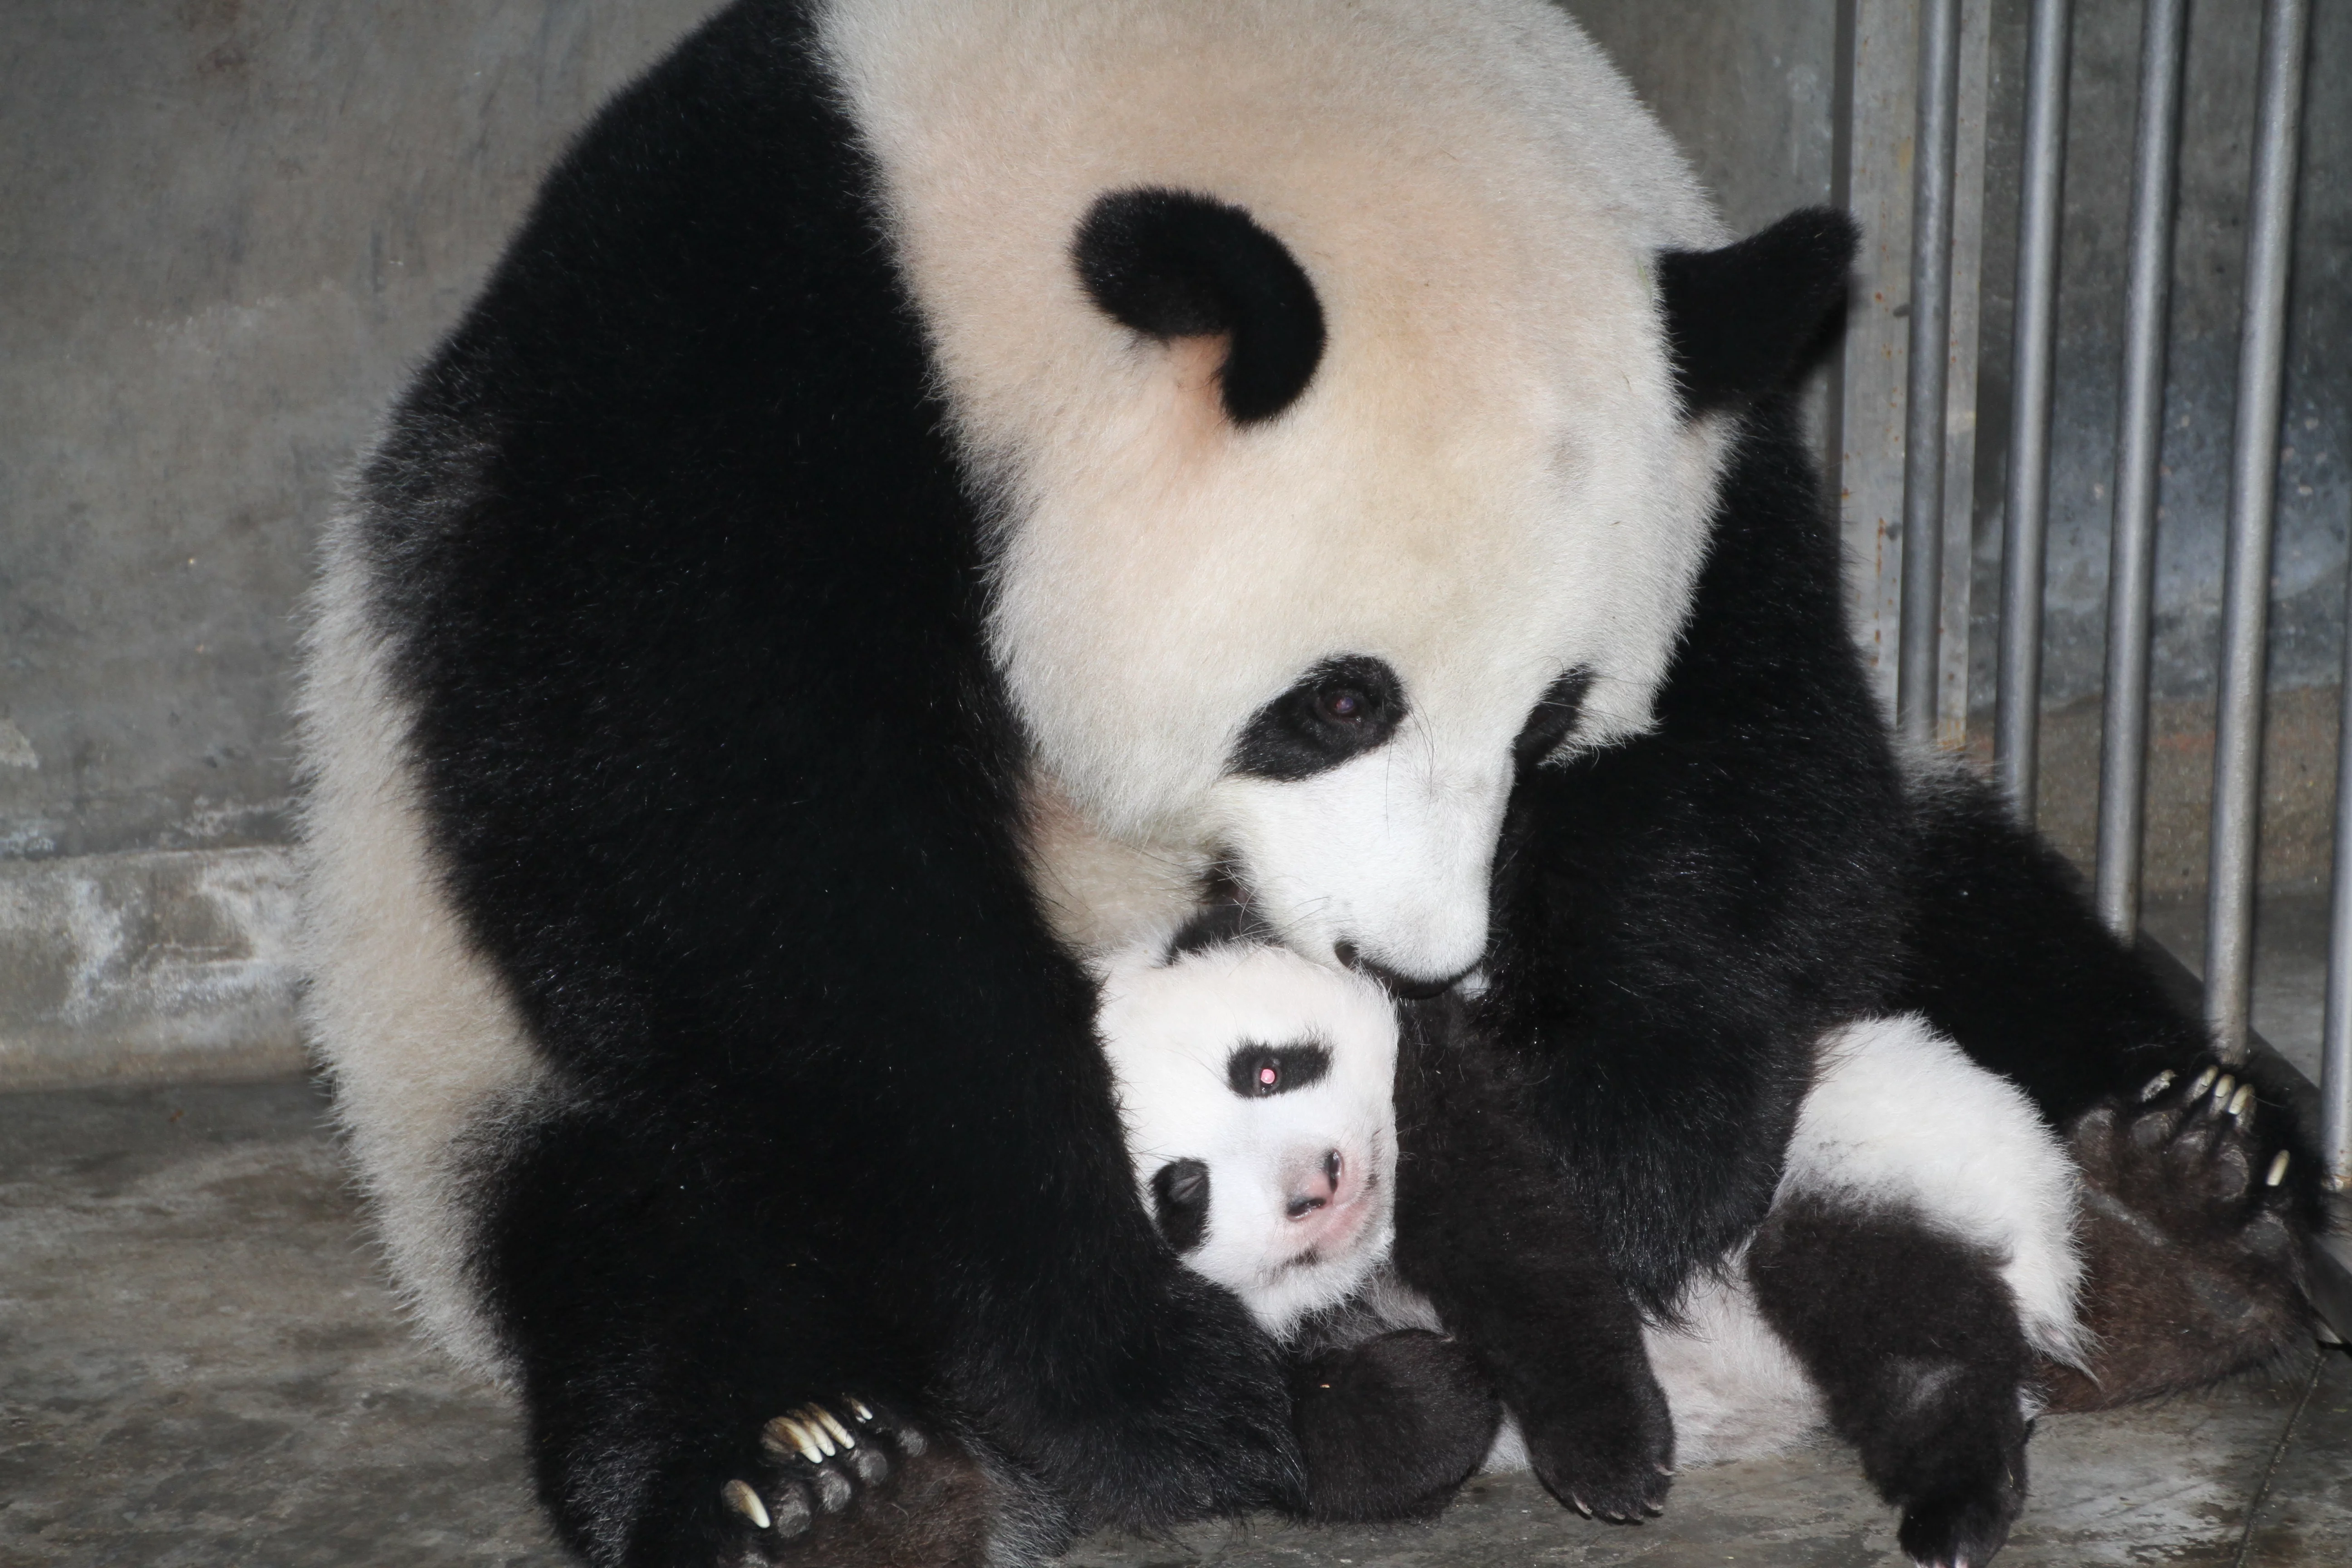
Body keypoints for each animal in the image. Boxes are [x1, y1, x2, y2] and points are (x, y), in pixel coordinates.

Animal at [297, 1, 2320, 1566]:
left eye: (1550, 720)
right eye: (1333, 703)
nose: (1428, 966)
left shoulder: (1726, 457)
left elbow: (1756, 760)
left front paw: (1621, 1133)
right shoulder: (730, 389)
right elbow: (753, 867)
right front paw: (1134, 1367)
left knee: (1955, 909)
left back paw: (2197, 1179)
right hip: (461, 1049)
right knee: (637, 1236)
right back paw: (821, 1477)